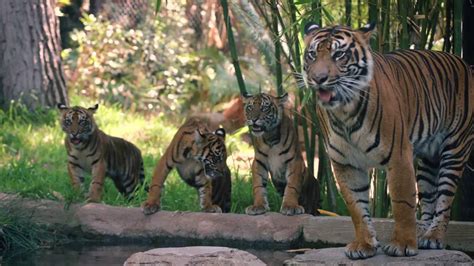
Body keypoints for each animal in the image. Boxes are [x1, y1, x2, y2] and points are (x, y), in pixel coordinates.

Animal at [304, 23, 470, 260]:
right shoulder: (345, 163)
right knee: (429, 198)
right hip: (428, 160)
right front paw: (364, 244)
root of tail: (464, 62)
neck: (344, 112)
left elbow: (402, 202)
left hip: (455, 149)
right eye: (312, 55)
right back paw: (422, 235)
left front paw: (402, 244)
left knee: (444, 200)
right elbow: (356, 206)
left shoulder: (399, 156)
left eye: (339, 55)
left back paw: (433, 237)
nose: (318, 78)